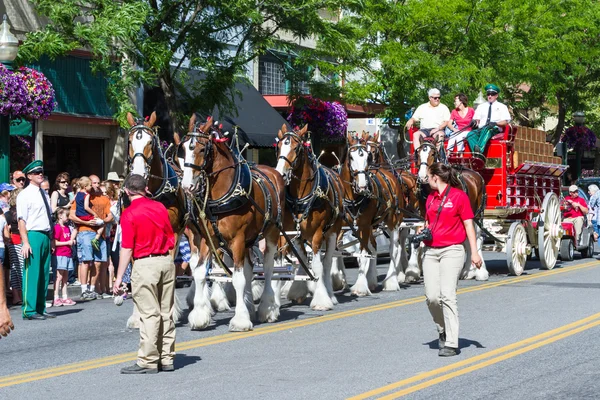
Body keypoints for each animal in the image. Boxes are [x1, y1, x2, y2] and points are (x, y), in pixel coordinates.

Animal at [177, 113, 284, 332]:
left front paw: (240, 320)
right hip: (249, 240)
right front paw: (199, 316)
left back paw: (267, 308)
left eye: (202, 149)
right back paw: (250, 306)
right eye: (183, 148)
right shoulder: (206, 239)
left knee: (268, 266)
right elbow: (200, 273)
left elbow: (238, 278)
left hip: (271, 233)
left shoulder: (237, 239)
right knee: (250, 268)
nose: (187, 185)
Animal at [276, 125, 344, 310]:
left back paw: (330, 294)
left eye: (296, 148)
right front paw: (294, 292)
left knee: (327, 263)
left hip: (333, 232)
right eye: (279, 146)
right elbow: (297, 262)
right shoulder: (291, 234)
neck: (301, 196)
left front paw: (322, 300)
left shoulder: (317, 234)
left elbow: (318, 266)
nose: (280, 174)